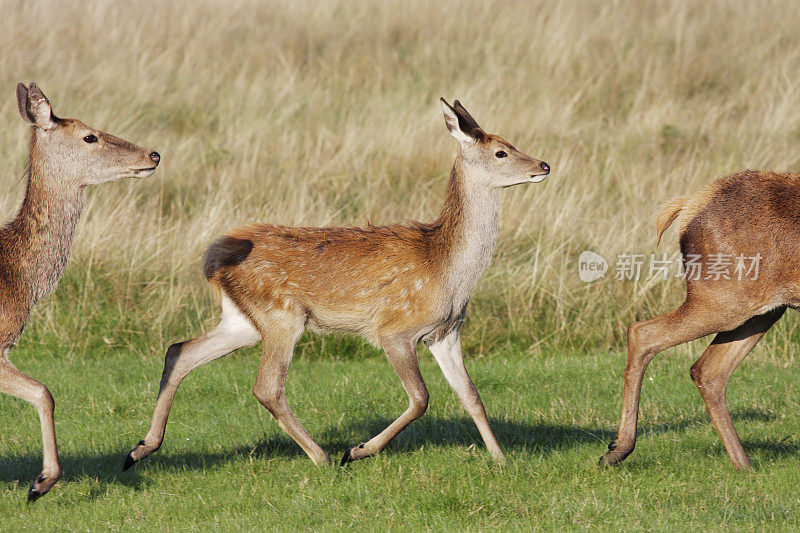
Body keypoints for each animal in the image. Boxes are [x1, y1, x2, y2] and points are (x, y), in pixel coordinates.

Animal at [123, 97, 552, 468]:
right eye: (501, 152)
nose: (544, 165)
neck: (446, 268)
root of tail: (212, 257)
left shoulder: (446, 332)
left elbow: (471, 395)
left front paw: (500, 459)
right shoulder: (394, 329)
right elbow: (421, 398)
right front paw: (358, 450)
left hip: (243, 320)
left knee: (180, 351)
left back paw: (139, 449)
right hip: (281, 314)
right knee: (266, 386)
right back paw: (323, 456)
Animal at [600, 170, 800, 470]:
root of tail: (688, 206)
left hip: (763, 311)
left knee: (708, 370)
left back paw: (744, 465)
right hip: (726, 300)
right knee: (641, 332)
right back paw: (617, 449)